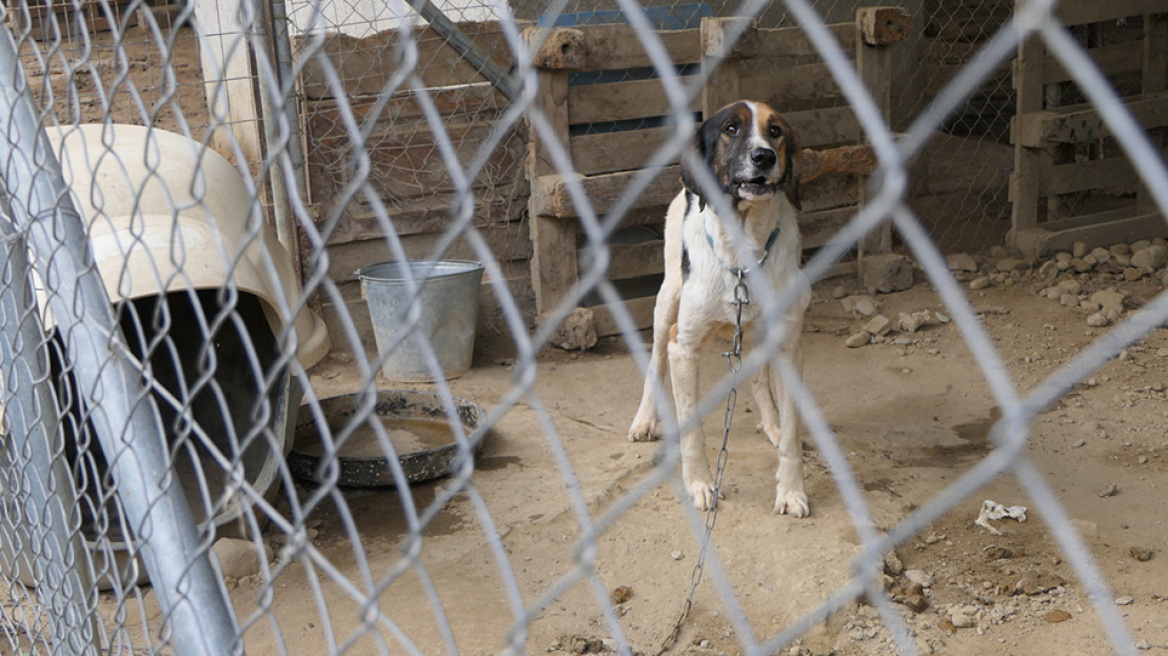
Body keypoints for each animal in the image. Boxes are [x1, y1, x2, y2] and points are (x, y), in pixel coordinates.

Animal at [630, 99, 812, 515]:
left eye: (775, 131)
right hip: (667, 301)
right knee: (654, 363)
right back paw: (644, 420)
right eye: (731, 128)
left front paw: (791, 489)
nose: (763, 156)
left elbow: (792, 433)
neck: (743, 252)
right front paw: (699, 485)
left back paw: (771, 423)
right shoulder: (683, 346)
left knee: (761, 379)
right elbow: (691, 430)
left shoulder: (790, 346)